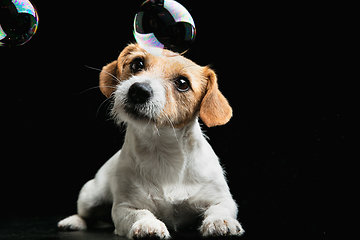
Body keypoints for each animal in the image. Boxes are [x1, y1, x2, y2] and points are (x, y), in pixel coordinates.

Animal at [58, 43, 245, 238]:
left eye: (183, 83)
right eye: (137, 64)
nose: (139, 90)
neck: (161, 150)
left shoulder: (222, 199)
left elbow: (219, 209)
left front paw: (220, 221)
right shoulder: (124, 207)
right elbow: (140, 213)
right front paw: (148, 224)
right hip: (89, 195)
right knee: (85, 214)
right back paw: (73, 221)